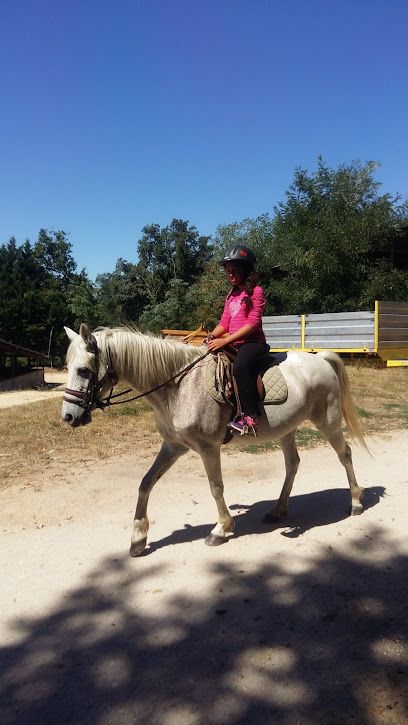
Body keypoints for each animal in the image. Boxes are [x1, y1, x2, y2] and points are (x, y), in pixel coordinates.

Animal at [61, 323, 367, 556]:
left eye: (84, 371)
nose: (68, 416)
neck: (179, 386)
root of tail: (320, 358)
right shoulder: (174, 446)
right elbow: (146, 482)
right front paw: (138, 538)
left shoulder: (208, 448)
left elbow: (215, 487)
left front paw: (221, 529)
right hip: (286, 430)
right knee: (292, 464)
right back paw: (278, 510)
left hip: (328, 421)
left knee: (346, 455)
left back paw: (355, 502)